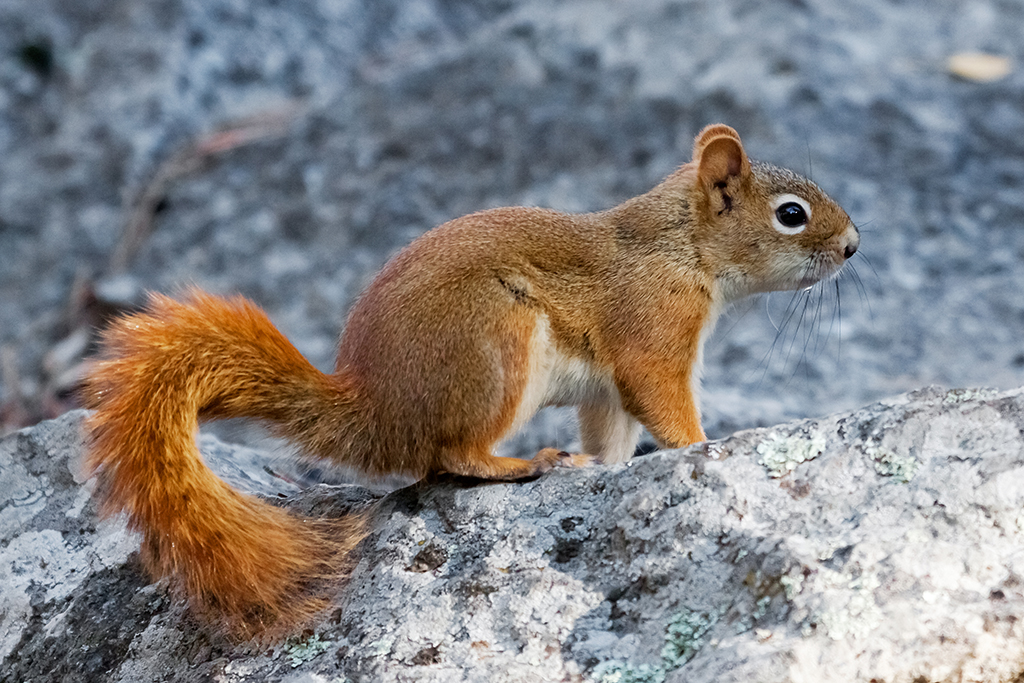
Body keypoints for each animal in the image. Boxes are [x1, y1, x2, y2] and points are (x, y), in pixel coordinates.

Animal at [83, 124, 860, 643]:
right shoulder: (652, 335)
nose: (855, 245)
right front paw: (700, 444)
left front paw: (605, 467)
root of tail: (374, 410)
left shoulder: (607, 392)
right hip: (494, 348)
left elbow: (612, 432)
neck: (680, 245)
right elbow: (664, 406)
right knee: (451, 457)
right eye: (791, 215)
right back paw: (526, 463)